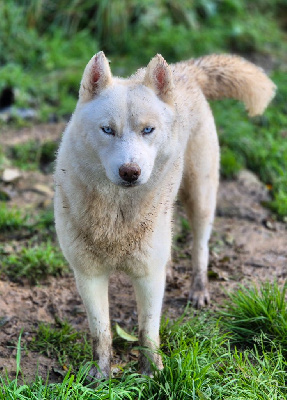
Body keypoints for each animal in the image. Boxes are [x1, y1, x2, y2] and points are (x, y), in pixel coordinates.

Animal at [54, 51, 276, 376]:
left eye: (148, 129)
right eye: (107, 129)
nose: (130, 172)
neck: (117, 215)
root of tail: (185, 69)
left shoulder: (147, 277)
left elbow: (147, 330)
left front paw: (152, 372)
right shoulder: (88, 275)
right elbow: (101, 332)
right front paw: (101, 375)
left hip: (201, 200)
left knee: (200, 248)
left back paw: (198, 289)